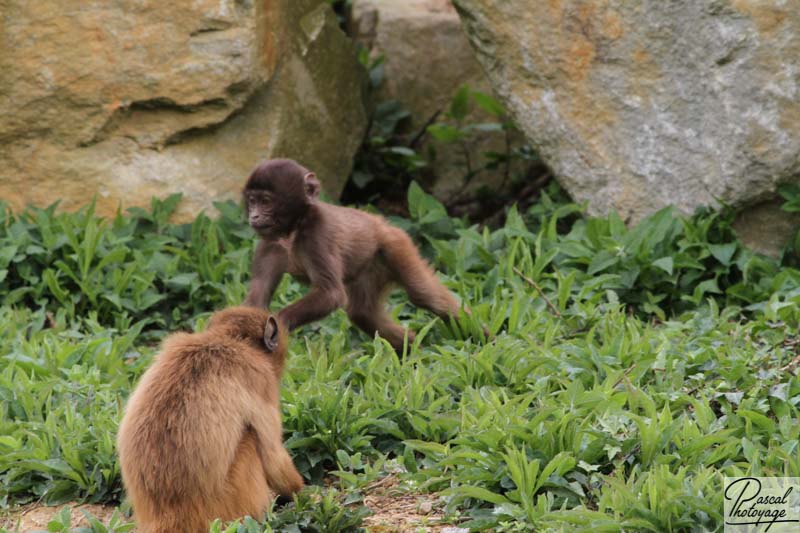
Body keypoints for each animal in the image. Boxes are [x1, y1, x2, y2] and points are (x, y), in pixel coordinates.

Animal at [118, 304, 304, 532]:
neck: (226, 340)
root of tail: (168, 515)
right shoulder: (262, 378)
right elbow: (273, 458)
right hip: (229, 500)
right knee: (251, 438)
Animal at [242, 157, 462, 350]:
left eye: (266, 201)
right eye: (252, 201)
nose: (254, 216)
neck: (293, 230)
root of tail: (383, 224)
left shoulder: (317, 235)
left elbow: (331, 294)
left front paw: (276, 326)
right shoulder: (269, 245)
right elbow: (257, 301)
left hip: (396, 245)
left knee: (422, 293)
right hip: (370, 268)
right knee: (362, 313)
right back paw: (415, 352)